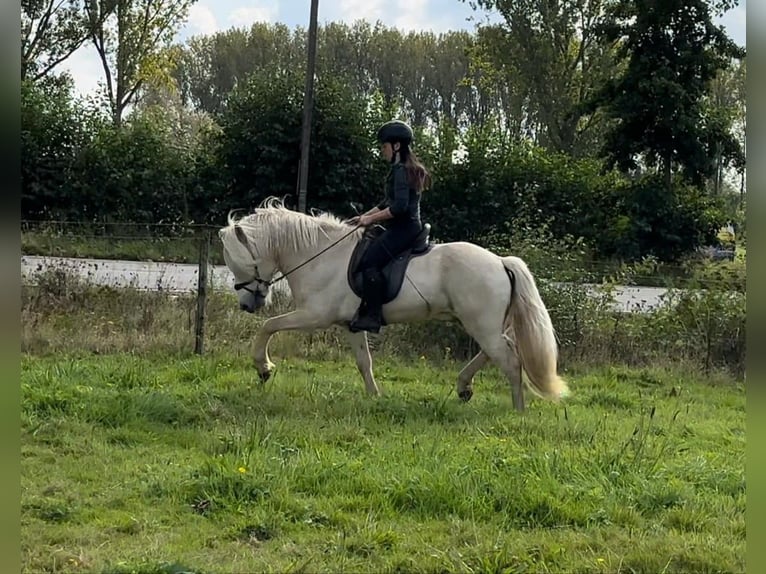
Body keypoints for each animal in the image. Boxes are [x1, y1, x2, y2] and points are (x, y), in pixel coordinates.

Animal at [218, 196, 568, 412]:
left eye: (241, 264)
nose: (247, 304)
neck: (320, 256)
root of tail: (500, 261)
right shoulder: (350, 324)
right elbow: (364, 362)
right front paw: (375, 397)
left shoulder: (314, 315)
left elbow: (268, 326)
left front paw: (264, 369)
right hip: (485, 323)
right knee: (497, 352)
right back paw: (464, 388)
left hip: (481, 323)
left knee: (509, 360)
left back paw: (518, 410)